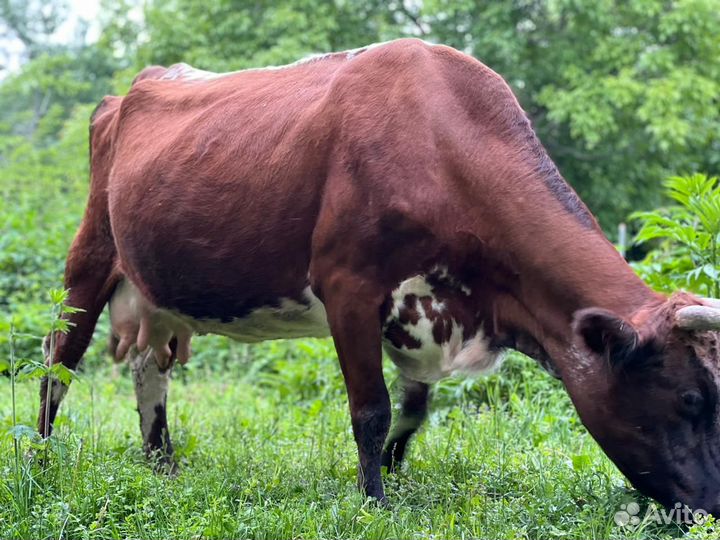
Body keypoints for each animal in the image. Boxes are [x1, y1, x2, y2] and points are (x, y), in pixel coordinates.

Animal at [39, 38, 720, 511]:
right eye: (689, 399)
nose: (711, 508)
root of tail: (137, 86)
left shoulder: (420, 313)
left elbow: (413, 409)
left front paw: (393, 473)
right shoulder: (349, 286)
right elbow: (371, 407)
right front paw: (374, 501)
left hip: (158, 294)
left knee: (148, 369)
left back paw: (162, 464)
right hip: (90, 257)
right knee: (57, 361)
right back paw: (41, 461)